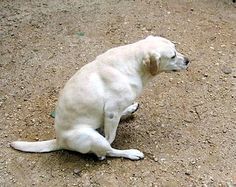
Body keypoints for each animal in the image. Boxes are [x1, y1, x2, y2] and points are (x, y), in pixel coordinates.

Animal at [10, 36, 190, 161]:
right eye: (173, 56)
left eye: (176, 48)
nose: (188, 60)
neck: (132, 64)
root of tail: (59, 140)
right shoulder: (111, 111)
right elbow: (110, 138)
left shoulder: (111, 112)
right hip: (91, 136)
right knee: (108, 150)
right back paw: (130, 153)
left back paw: (129, 110)